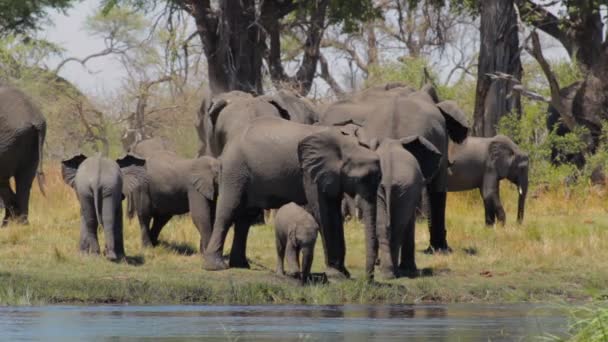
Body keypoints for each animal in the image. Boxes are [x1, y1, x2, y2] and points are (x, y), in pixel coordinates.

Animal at [203, 116, 380, 280]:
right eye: (361, 179)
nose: (368, 280)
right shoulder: (310, 172)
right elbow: (325, 212)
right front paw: (337, 275)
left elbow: (334, 213)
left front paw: (344, 274)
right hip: (234, 170)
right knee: (228, 211)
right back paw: (216, 267)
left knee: (245, 218)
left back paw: (241, 265)